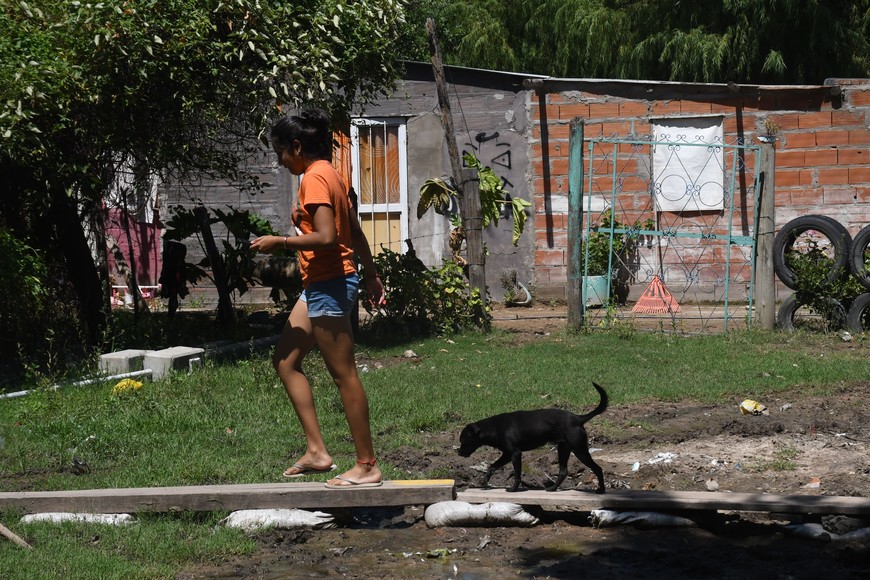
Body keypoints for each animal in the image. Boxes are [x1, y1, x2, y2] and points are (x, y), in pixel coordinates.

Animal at [460, 380, 608, 494]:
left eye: (463, 441)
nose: (458, 452)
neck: (494, 428)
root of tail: (578, 418)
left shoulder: (515, 453)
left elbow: (517, 474)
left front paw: (513, 489)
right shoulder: (507, 454)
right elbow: (492, 466)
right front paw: (484, 481)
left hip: (580, 450)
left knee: (598, 468)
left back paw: (601, 490)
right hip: (563, 448)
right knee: (563, 471)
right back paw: (552, 488)